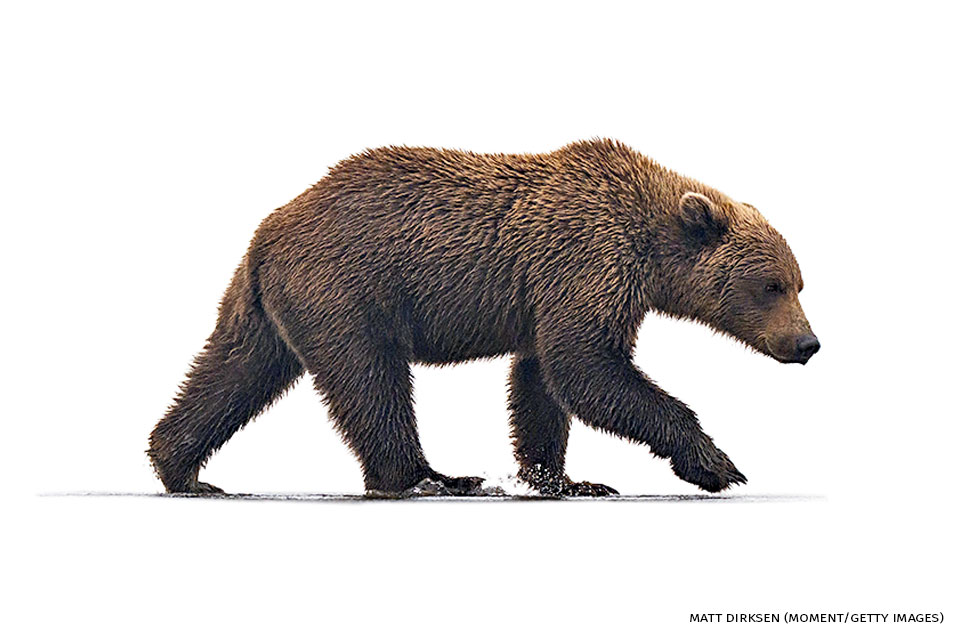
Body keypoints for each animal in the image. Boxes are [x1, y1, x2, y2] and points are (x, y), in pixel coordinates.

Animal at [148, 138, 819, 497]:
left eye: (799, 282)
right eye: (772, 285)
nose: (808, 343)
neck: (649, 242)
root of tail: (268, 230)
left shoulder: (561, 292)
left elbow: (543, 383)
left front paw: (564, 479)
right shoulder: (584, 261)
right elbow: (587, 368)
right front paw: (717, 463)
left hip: (269, 305)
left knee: (234, 371)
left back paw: (181, 466)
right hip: (348, 288)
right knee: (371, 381)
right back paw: (428, 476)